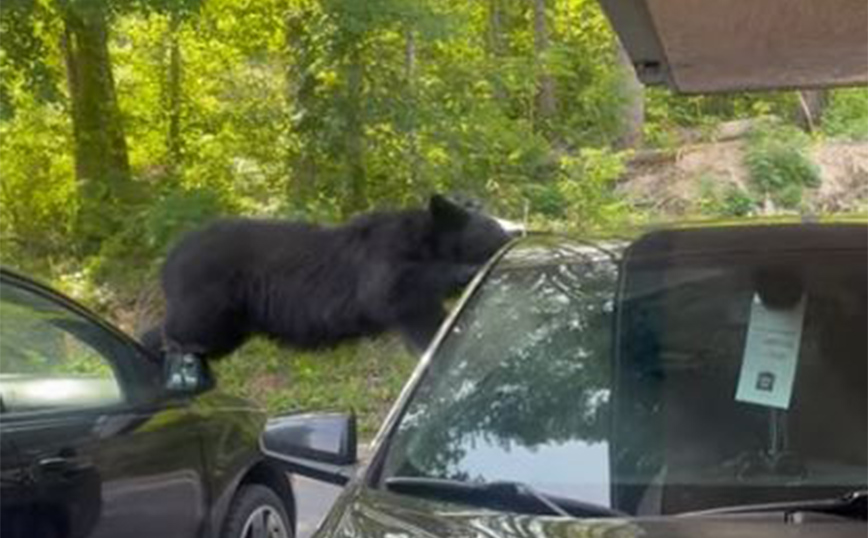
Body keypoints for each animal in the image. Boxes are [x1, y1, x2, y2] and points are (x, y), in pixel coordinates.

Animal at [139, 195, 512, 358]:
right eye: (495, 228)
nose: (517, 231)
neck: (425, 240)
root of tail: (169, 258)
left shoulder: (415, 309)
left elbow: (430, 325)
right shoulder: (384, 254)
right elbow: (386, 286)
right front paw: (465, 271)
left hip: (232, 323)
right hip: (206, 293)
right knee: (182, 328)